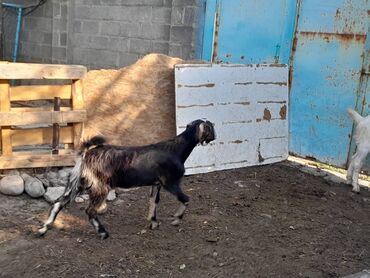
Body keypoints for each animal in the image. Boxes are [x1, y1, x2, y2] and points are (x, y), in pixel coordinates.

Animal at [37, 119, 215, 239]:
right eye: (210, 128)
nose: (214, 136)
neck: (176, 150)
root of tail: (87, 154)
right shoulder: (170, 182)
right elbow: (185, 199)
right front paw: (176, 219)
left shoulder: (156, 184)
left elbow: (154, 202)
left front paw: (153, 222)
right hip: (100, 186)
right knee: (90, 210)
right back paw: (103, 233)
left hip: (78, 182)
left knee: (59, 202)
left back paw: (44, 228)